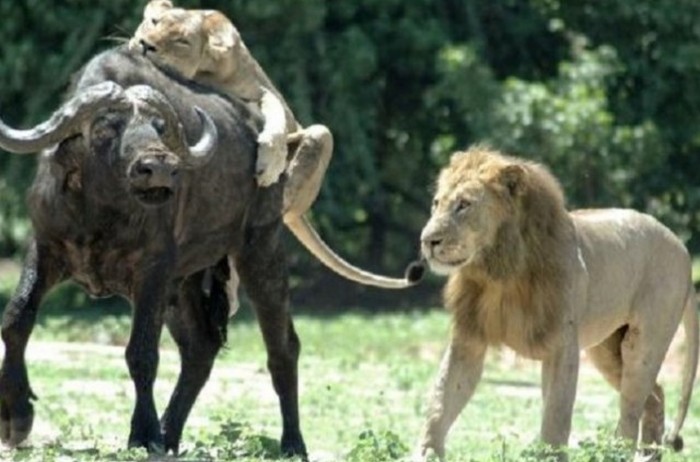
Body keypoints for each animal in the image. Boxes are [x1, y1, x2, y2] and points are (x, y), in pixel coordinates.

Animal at [0, 45, 422, 456]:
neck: (99, 213)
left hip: (260, 251)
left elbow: (141, 352)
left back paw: (291, 443)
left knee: (283, 347)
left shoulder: (152, 269)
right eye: (105, 127)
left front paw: (143, 435)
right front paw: (16, 418)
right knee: (201, 348)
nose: (159, 166)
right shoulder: (46, 248)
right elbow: (16, 319)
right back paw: (171, 434)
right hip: (186, 283)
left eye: (158, 128)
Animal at [418, 146, 696, 460]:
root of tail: (682, 248)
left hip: (643, 344)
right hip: (607, 350)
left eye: (463, 205)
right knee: (656, 395)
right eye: (437, 203)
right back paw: (648, 454)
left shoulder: (562, 346)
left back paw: (620, 453)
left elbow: (555, 416)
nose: (427, 240)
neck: (499, 272)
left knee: (630, 413)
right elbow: (441, 401)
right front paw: (425, 452)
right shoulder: (468, 339)